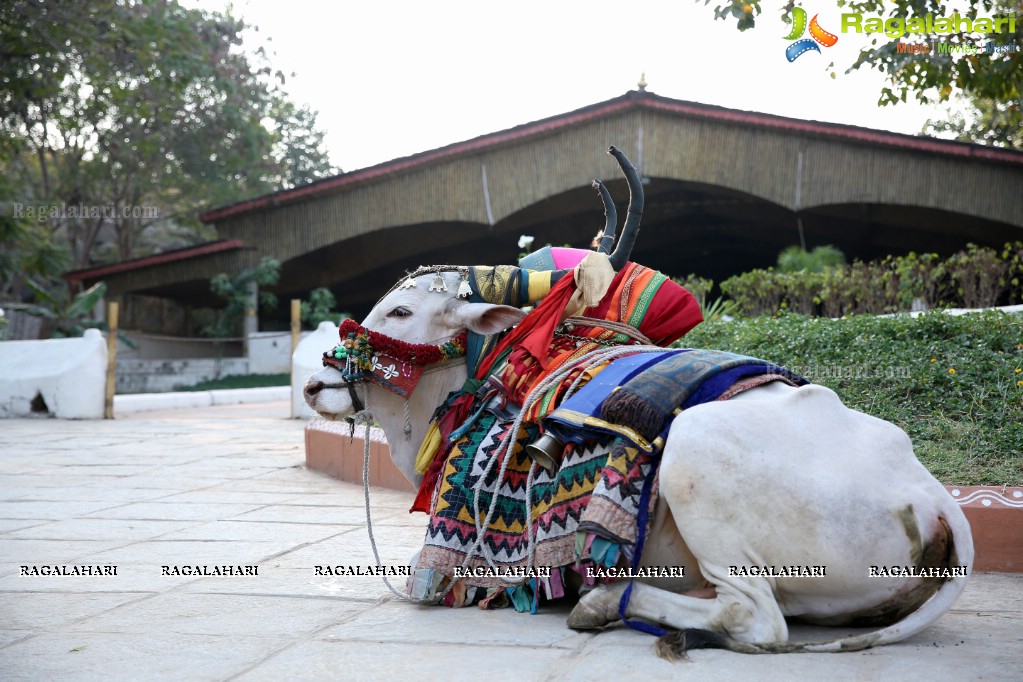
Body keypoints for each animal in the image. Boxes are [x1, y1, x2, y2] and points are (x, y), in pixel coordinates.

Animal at [304, 147, 973, 658]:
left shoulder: (462, 559)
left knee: (755, 619)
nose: (315, 384)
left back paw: (601, 603)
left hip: (696, 466)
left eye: (400, 311)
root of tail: (933, 497)